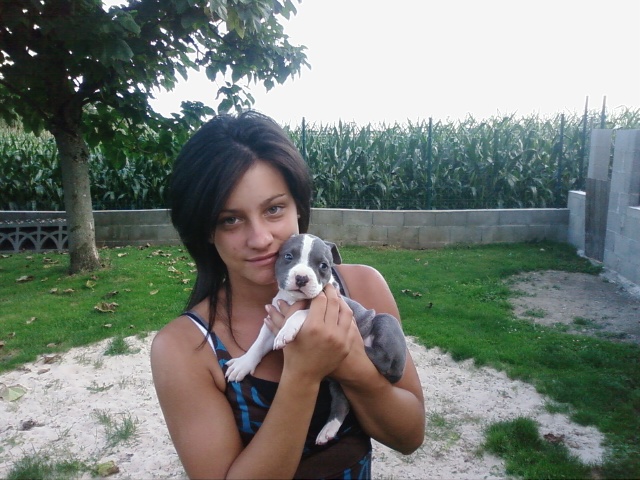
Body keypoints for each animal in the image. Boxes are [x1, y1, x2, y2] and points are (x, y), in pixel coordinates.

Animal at [225, 233, 407, 444]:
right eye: (288, 256)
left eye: (323, 265)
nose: (302, 278)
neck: (294, 300)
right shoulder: (273, 319)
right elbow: (259, 343)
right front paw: (243, 363)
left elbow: (303, 312)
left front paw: (287, 330)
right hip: (338, 384)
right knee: (341, 402)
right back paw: (328, 430)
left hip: (387, 322)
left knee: (383, 358)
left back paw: (361, 347)